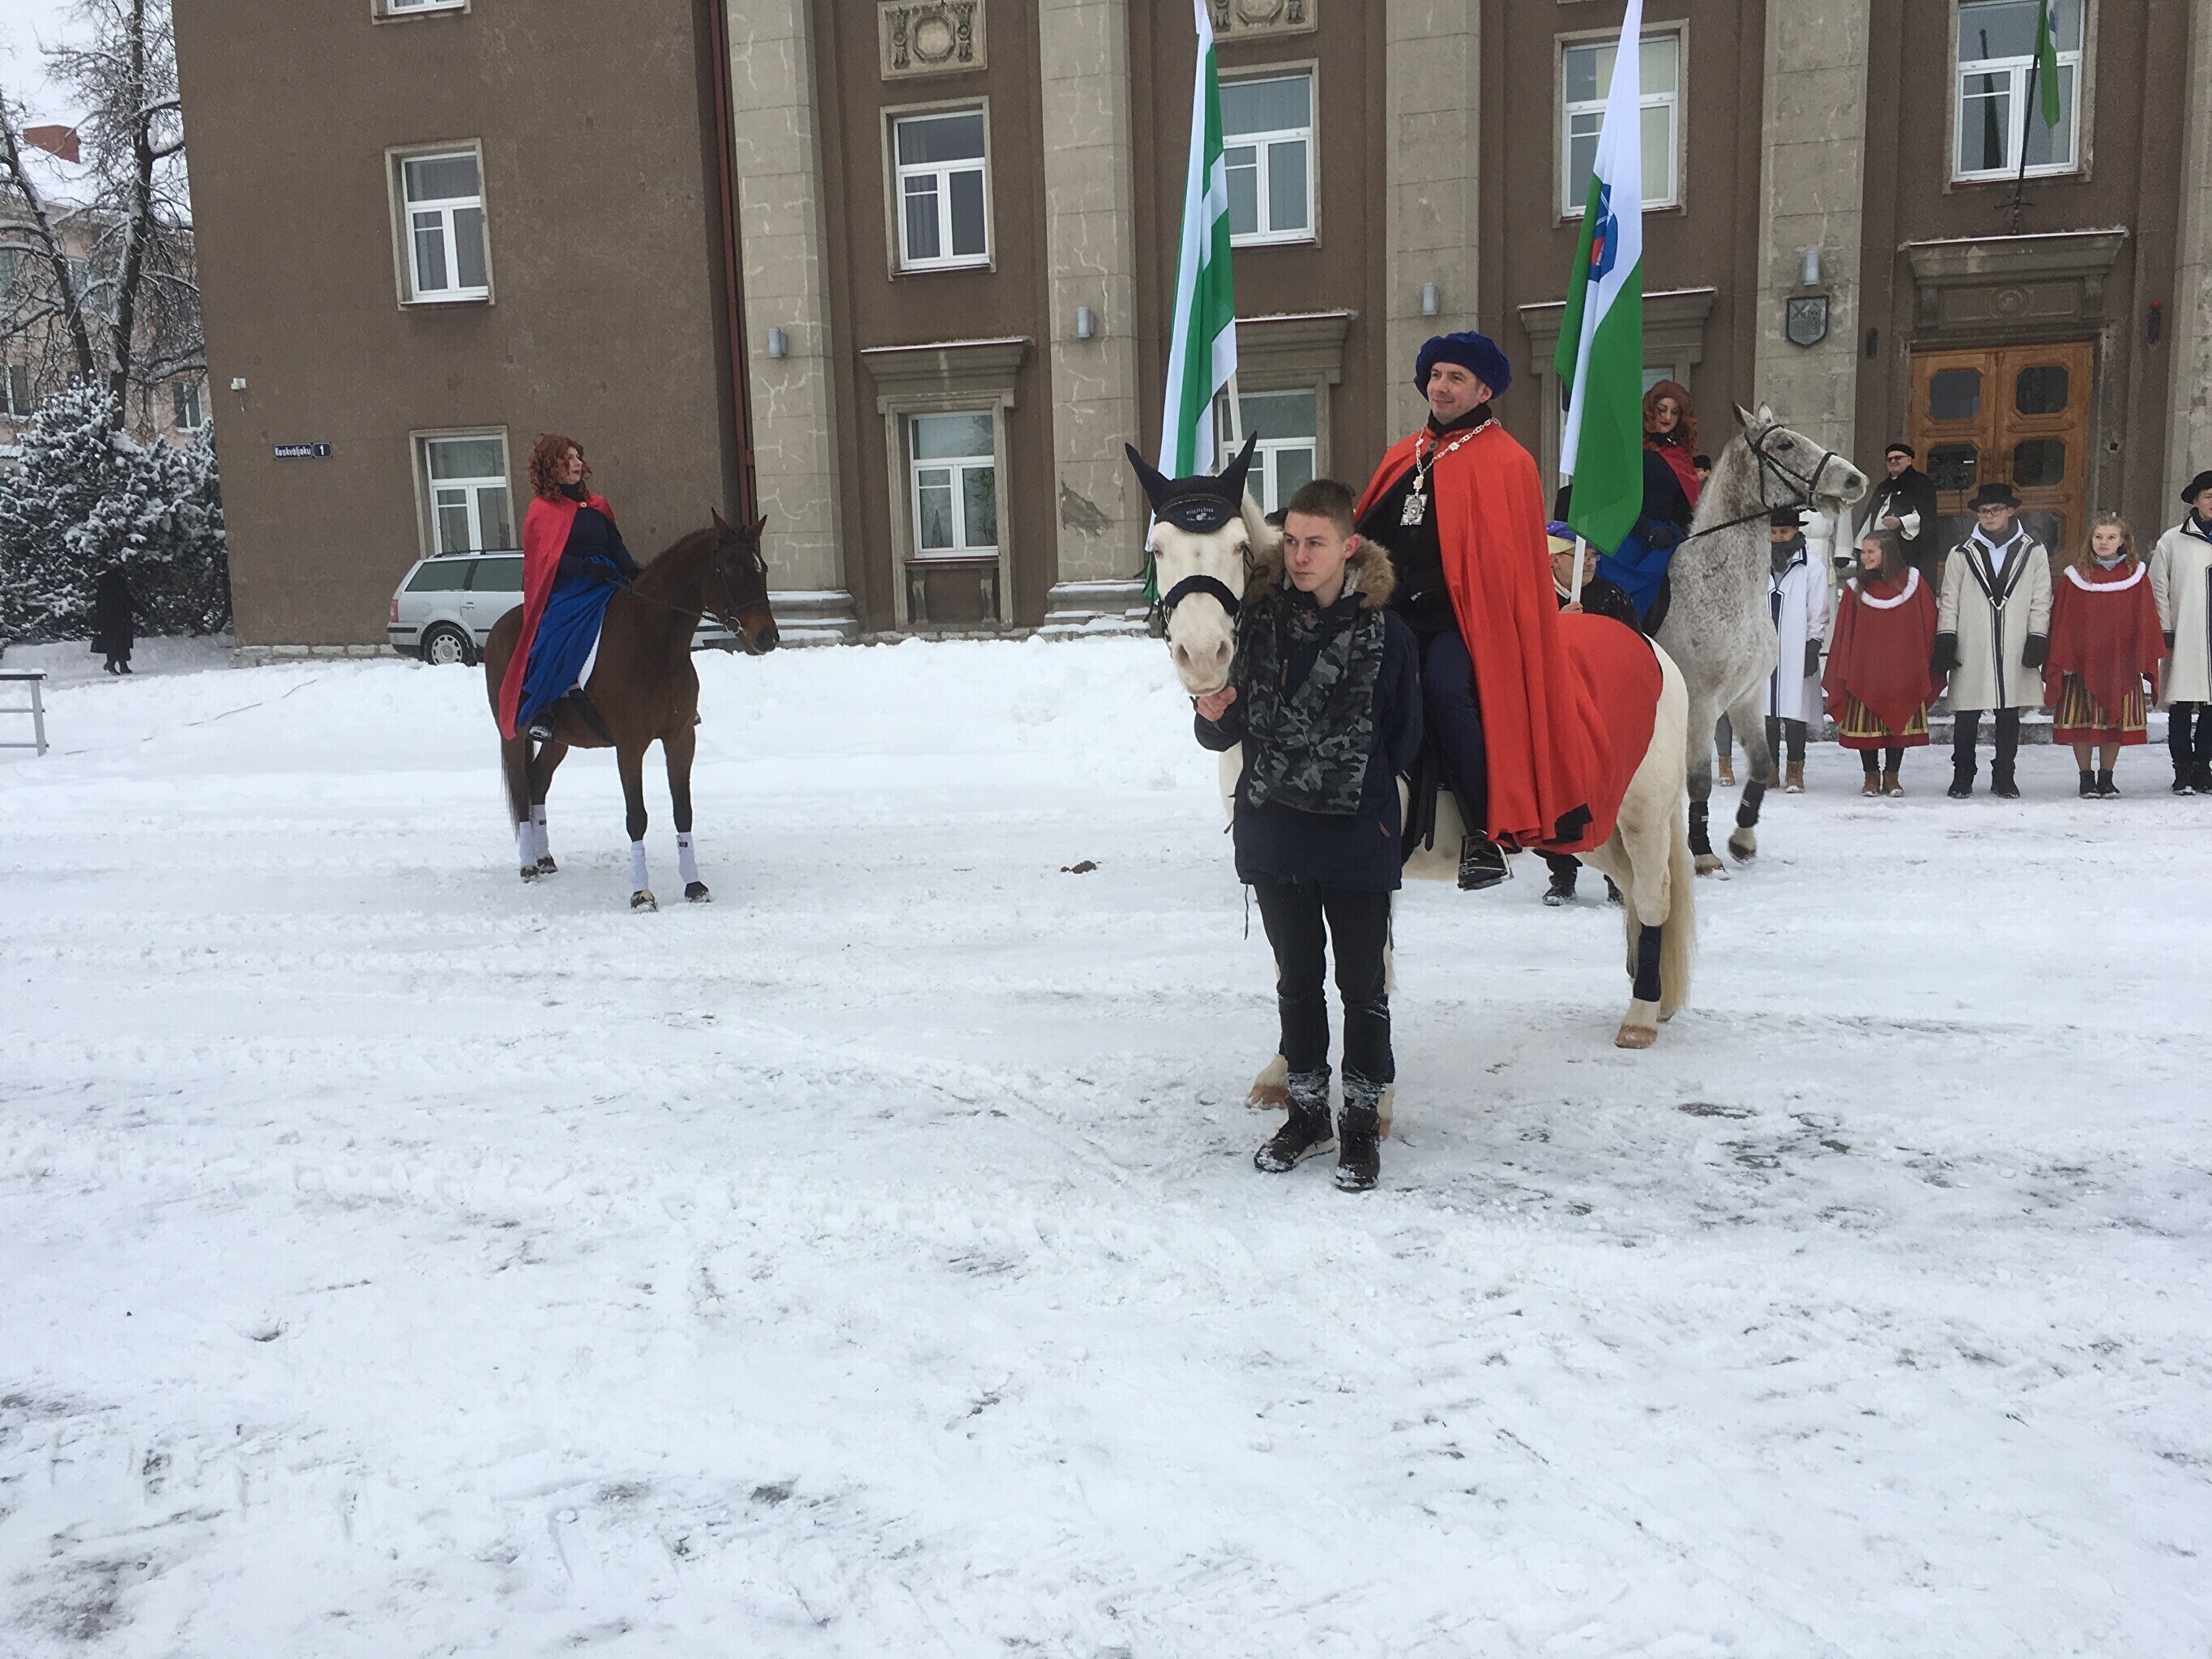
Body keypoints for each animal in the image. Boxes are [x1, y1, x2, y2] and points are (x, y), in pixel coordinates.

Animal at [480, 511, 780, 910]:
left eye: (762, 569)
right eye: (731, 569)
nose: (768, 637)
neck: (653, 642)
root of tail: (501, 626)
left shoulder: (680, 737)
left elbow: (683, 809)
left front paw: (694, 885)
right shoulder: (629, 745)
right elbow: (636, 816)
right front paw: (642, 893)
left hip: (560, 740)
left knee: (538, 783)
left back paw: (545, 859)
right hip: (513, 733)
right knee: (520, 787)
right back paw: (529, 865)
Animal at [1129, 439, 1698, 1139]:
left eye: (1238, 546)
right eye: (1158, 548)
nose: (1204, 655)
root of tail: (1649, 648)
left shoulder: (1368, 873)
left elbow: (1369, 971)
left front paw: (1376, 1105)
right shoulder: (1276, 867)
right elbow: (1293, 963)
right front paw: (1280, 1072)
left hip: (1641, 813)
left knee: (1652, 895)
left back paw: (1641, 1015)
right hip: (1589, 827)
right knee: (1633, 891)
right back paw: (1650, 993)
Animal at [1655, 404, 1869, 874]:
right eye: (1785, 444)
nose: (1855, 479)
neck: (1718, 584)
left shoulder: (1747, 698)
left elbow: (1761, 762)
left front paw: (1743, 840)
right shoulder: (1701, 705)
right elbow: (1700, 779)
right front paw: (1704, 853)